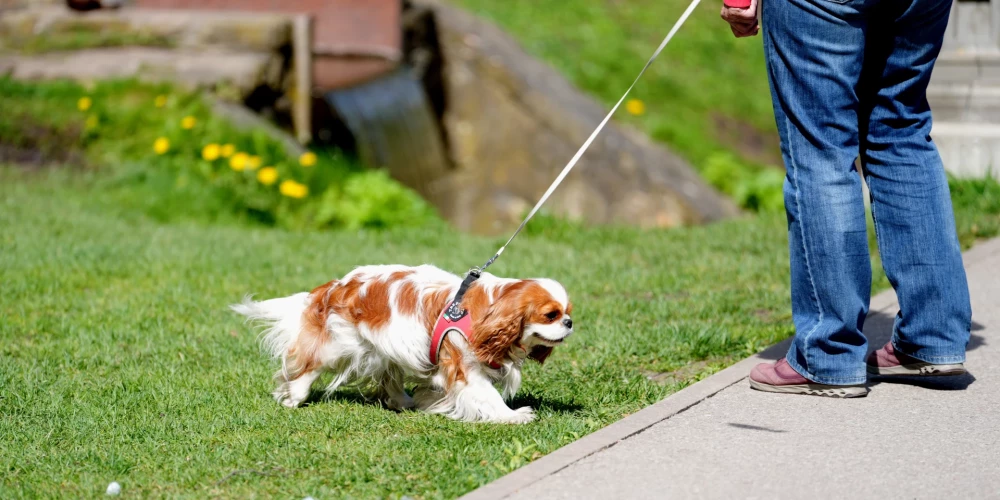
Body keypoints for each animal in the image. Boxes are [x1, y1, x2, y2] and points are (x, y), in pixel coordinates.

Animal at [231, 264, 576, 424]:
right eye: (551, 315)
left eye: (568, 312)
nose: (569, 323)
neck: (490, 308)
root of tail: (334, 287)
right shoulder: (464, 364)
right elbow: (486, 394)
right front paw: (512, 415)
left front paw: (431, 401)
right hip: (341, 343)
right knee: (308, 366)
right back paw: (295, 395)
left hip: (384, 348)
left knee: (390, 379)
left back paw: (404, 401)